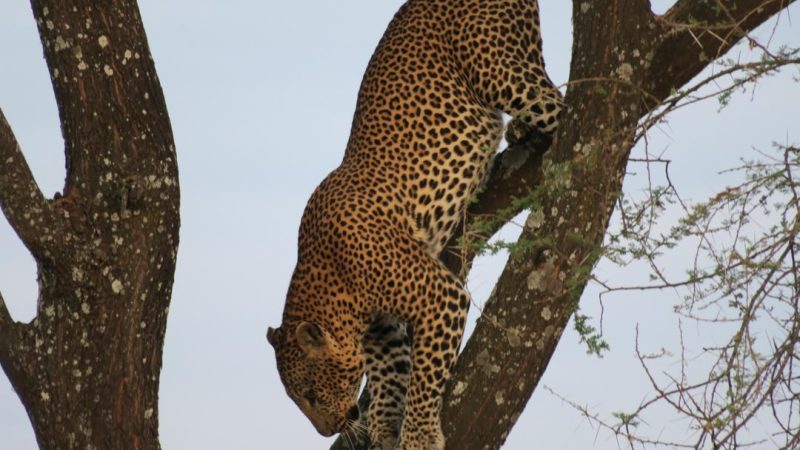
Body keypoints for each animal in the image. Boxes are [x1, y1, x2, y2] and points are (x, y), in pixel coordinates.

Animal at [267, 0, 562, 448]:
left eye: (311, 394)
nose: (326, 431)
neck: (334, 279)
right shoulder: (383, 332)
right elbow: (391, 377)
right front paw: (384, 427)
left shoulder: (440, 296)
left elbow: (424, 377)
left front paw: (419, 434)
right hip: (522, 48)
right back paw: (522, 130)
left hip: (496, 68)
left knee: (559, 102)